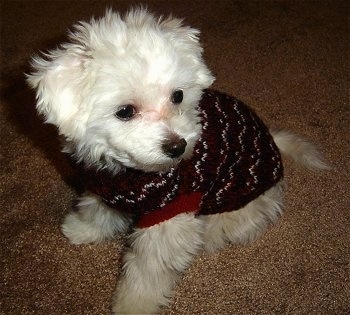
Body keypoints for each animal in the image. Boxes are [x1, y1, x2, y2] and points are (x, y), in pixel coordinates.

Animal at [27, 8, 328, 314]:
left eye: (178, 95)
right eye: (125, 111)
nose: (178, 146)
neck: (130, 174)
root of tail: (272, 143)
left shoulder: (170, 215)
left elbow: (148, 270)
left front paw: (132, 304)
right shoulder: (102, 188)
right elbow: (96, 212)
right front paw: (82, 229)